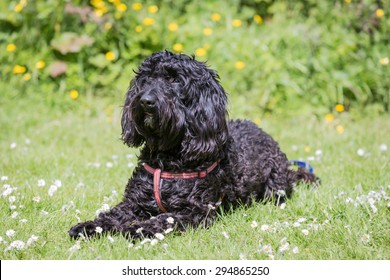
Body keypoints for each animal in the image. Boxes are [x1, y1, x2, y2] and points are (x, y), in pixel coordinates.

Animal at [68, 51, 318, 240]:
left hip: (275, 188)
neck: (168, 157)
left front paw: (140, 228)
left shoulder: (194, 211)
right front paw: (88, 227)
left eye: (175, 80)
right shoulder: (133, 202)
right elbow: (111, 215)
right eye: (146, 79)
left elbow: (164, 218)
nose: (145, 101)